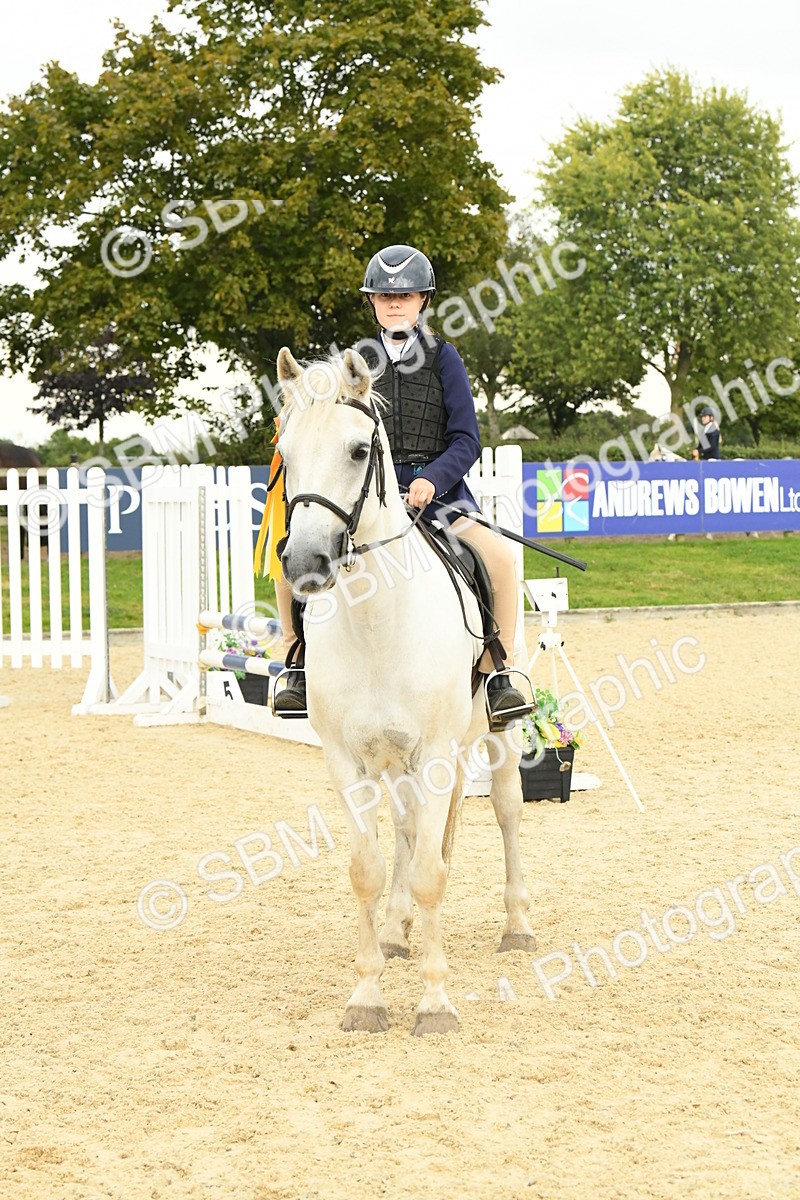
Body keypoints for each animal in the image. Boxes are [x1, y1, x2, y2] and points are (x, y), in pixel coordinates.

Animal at [275, 347, 536, 1037]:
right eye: (285, 451)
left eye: (358, 450)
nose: (304, 563)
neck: (375, 622)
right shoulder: (346, 758)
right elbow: (369, 869)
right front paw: (367, 994)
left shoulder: (438, 752)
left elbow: (430, 874)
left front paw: (435, 1003)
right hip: (391, 759)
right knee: (404, 827)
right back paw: (395, 932)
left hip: (496, 734)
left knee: (506, 812)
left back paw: (517, 926)